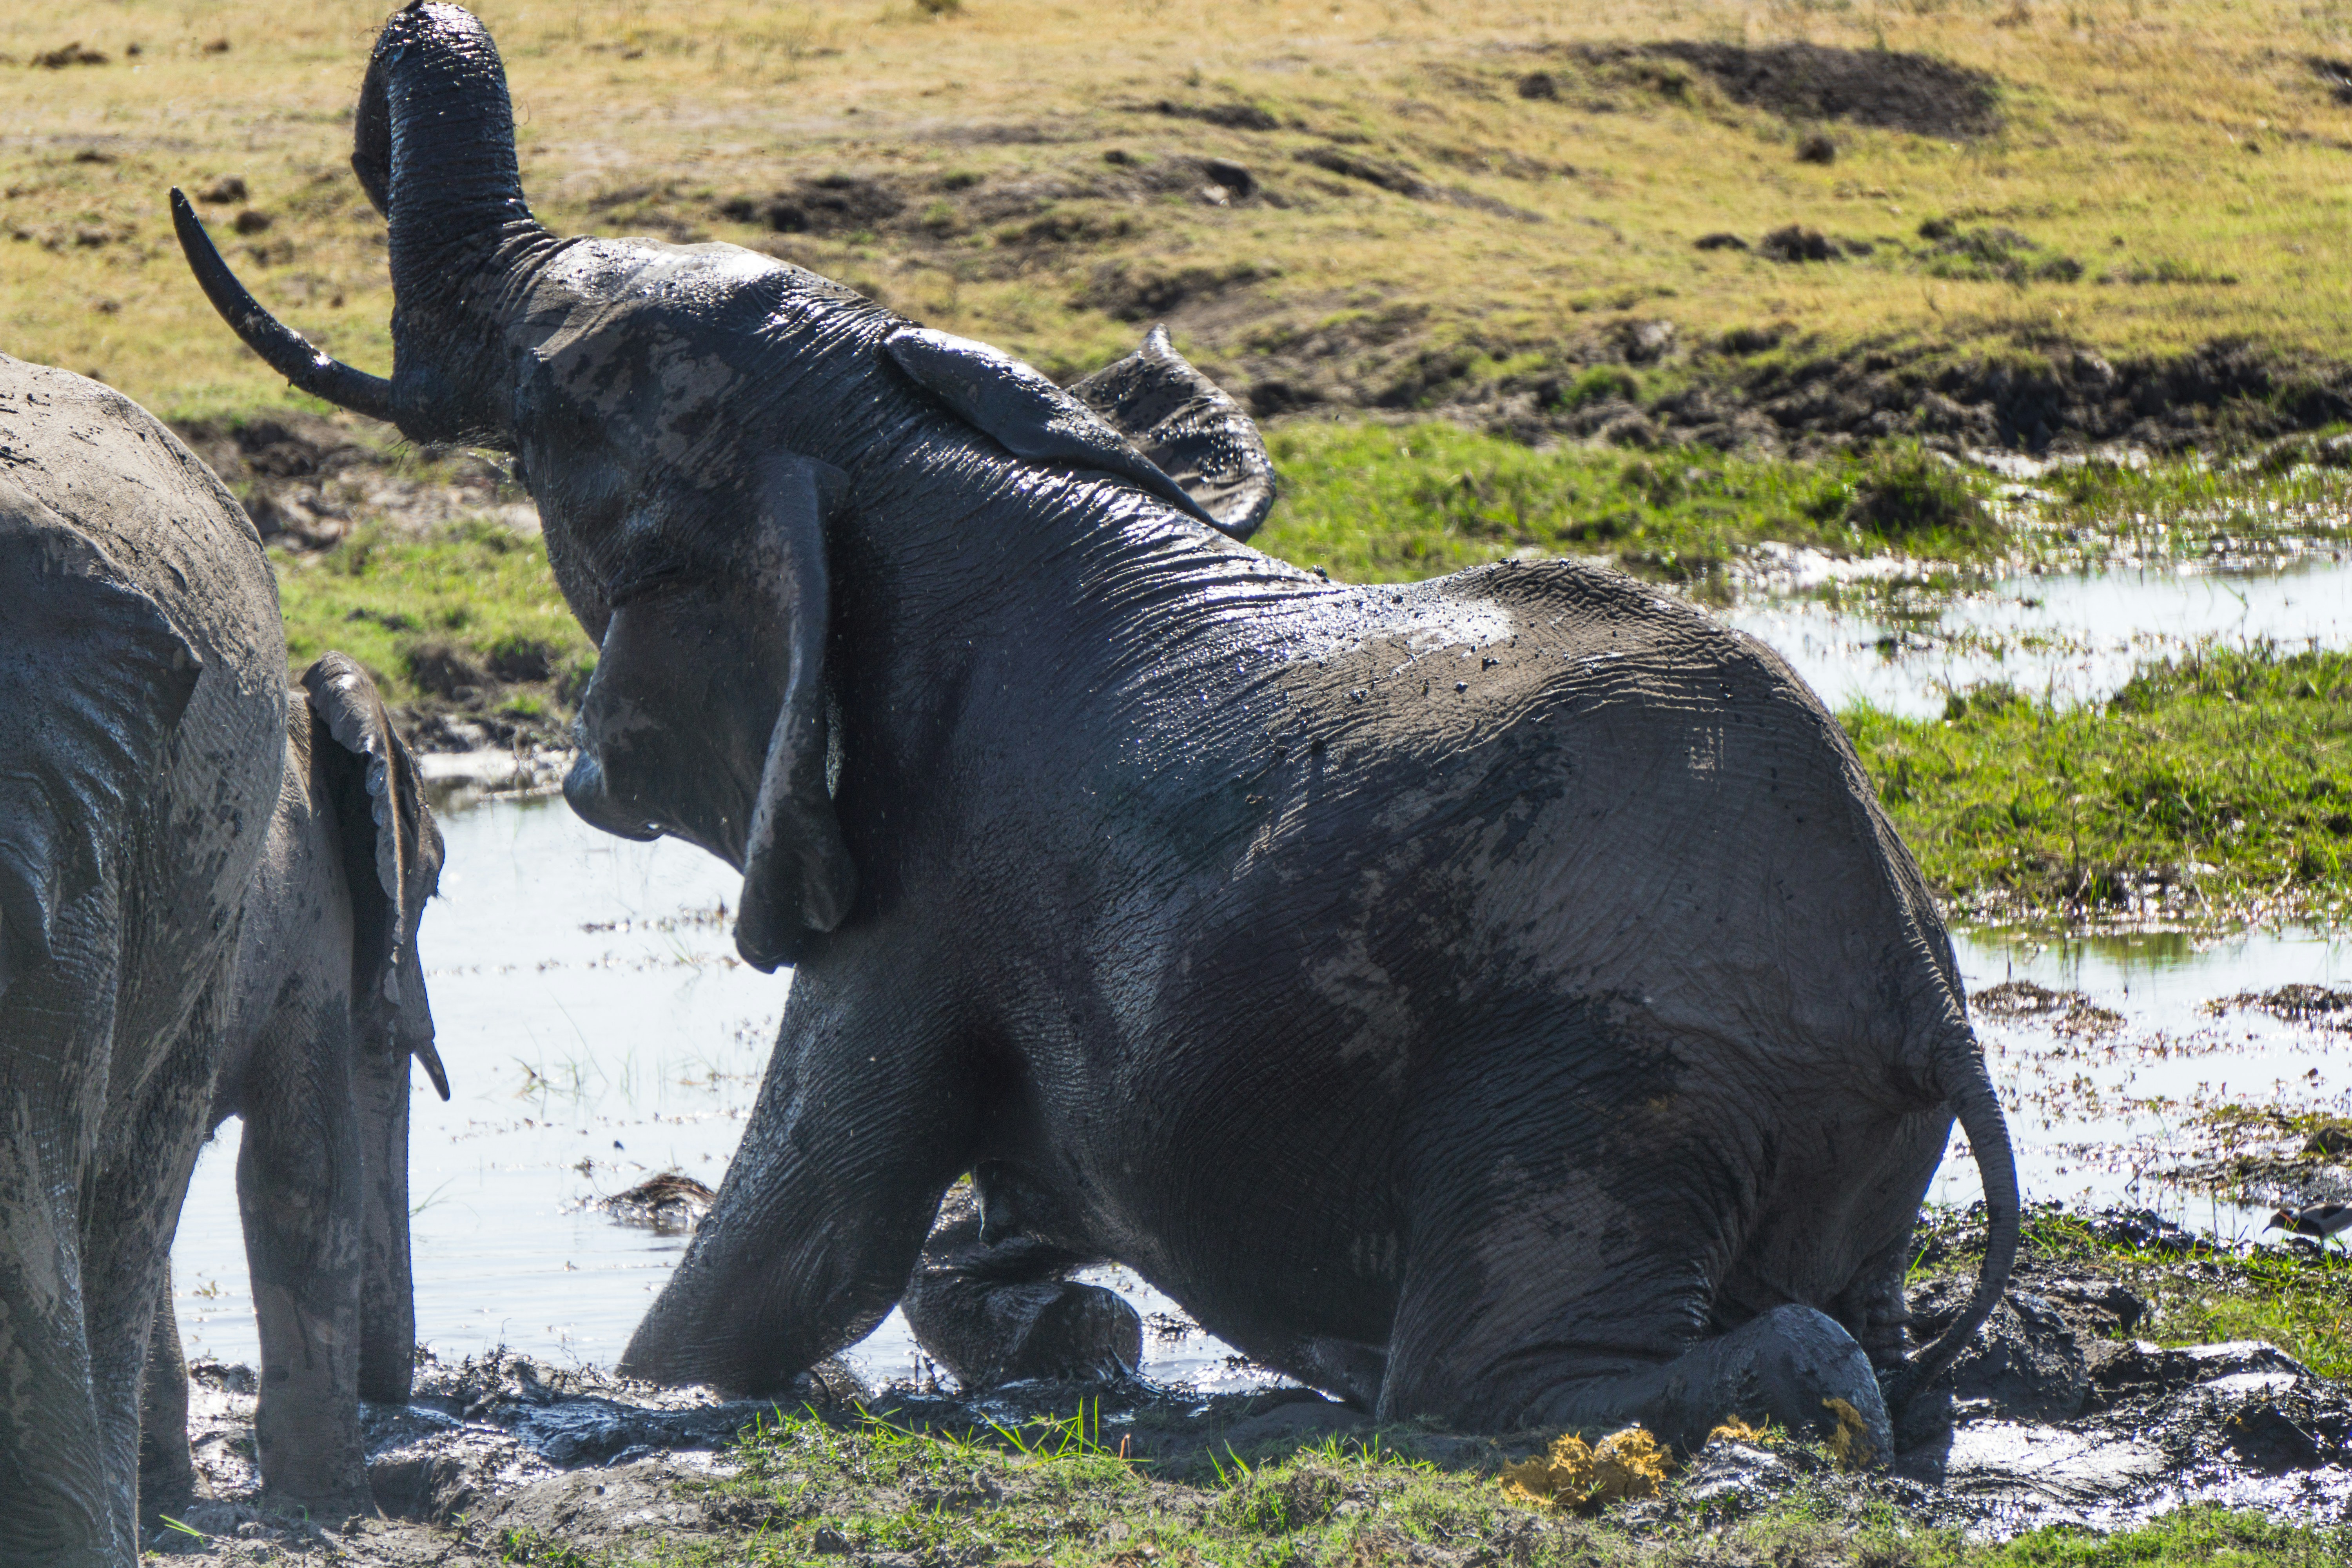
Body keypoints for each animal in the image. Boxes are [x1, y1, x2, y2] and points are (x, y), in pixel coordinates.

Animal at [175, 0, 2018, 1456]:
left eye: (561, 399)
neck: (900, 446)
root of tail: (1921, 997)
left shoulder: (921, 889)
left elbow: (796, 1247)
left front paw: (622, 1395)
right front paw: (1061, 1333)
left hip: (1602, 1077)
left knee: (1499, 1379)